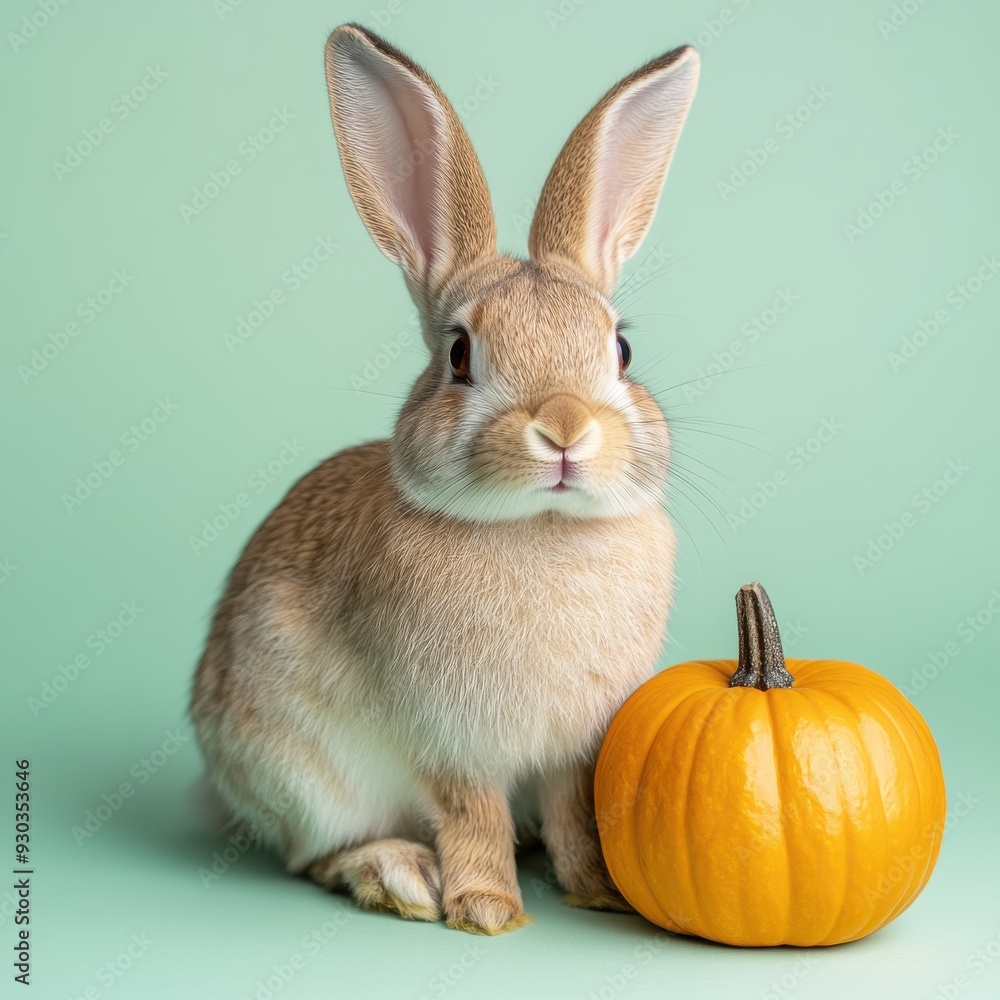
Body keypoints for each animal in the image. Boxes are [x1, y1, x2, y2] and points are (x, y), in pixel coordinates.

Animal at [190, 23, 700, 935]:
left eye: (621, 349)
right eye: (460, 355)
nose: (565, 429)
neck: (540, 531)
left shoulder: (575, 748)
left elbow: (572, 811)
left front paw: (595, 892)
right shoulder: (451, 742)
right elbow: (472, 816)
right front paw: (486, 909)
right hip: (308, 777)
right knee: (309, 855)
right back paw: (397, 875)